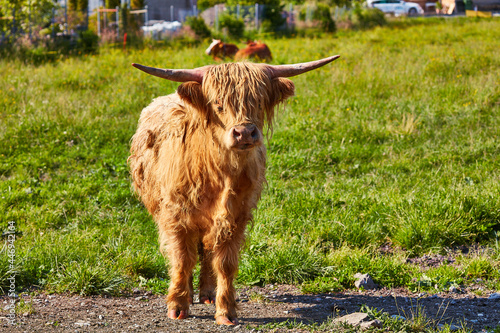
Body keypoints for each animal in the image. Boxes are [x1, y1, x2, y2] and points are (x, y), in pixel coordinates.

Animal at [128, 55, 340, 326]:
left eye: (258, 102)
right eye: (218, 104)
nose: (244, 133)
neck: (218, 173)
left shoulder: (236, 216)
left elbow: (225, 263)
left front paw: (226, 310)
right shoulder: (176, 215)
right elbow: (182, 260)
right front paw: (178, 305)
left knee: (207, 253)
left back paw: (207, 293)